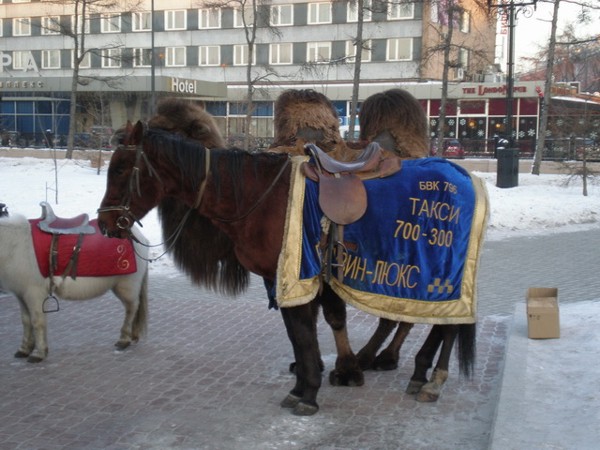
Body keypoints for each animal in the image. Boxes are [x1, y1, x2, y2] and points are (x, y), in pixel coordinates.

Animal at [0, 207, 149, 363]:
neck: (14, 245)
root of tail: (138, 236)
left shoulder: (34, 294)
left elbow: (37, 322)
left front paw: (39, 353)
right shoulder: (21, 295)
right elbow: (26, 321)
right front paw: (24, 349)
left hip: (127, 287)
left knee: (131, 309)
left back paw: (124, 340)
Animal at [97, 120, 487, 415]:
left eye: (120, 169)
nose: (105, 223)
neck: (260, 197)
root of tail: (468, 177)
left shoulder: (297, 275)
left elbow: (304, 331)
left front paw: (310, 393)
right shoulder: (280, 278)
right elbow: (297, 334)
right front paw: (302, 385)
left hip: (440, 264)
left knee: (448, 323)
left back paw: (433, 379)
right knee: (439, 322)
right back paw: (419, 372)